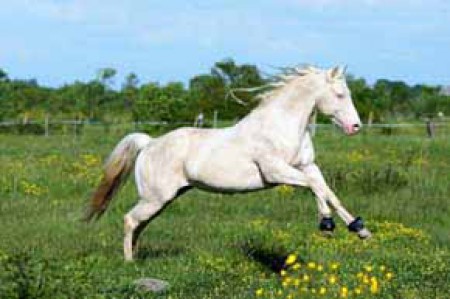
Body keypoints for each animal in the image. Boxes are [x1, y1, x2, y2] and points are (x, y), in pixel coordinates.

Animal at [86, 64, 370, 262]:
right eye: (340, 94)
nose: (356, 126)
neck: (281, 126)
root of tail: (150, 143)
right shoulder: (276, 172)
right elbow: (315, 187)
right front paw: (326, 224)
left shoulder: (308, 166)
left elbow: (328, 191)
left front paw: (359, 229)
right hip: (156, 198)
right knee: (129, 220)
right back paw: (130, 262)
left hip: (162, 200)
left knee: (139, 224)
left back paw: (136, 256)